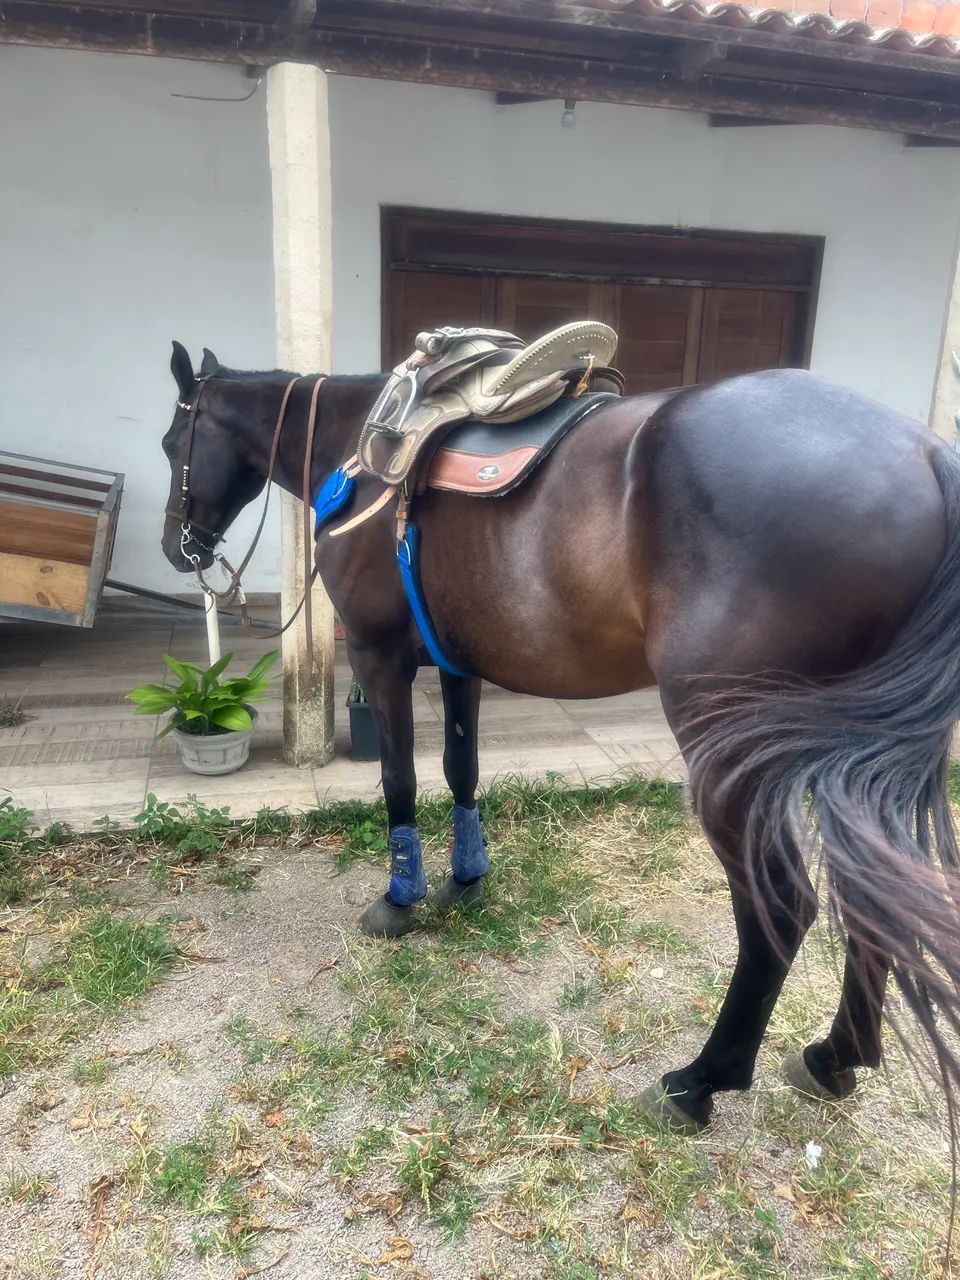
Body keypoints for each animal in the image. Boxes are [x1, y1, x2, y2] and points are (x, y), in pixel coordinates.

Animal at [161, 339, 960, 1136]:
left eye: (174, 442)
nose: (178, 548)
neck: (360, 454)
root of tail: (926, 454)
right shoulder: (458, 666)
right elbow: (460, 768)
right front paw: (465, 880)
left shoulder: (379, 657)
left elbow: (400, 779)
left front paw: (400, 898)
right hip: (849, 759)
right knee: (874, 894)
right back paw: (835, 1057)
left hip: (734, 752)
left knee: (783, 909)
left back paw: (699, 1082)